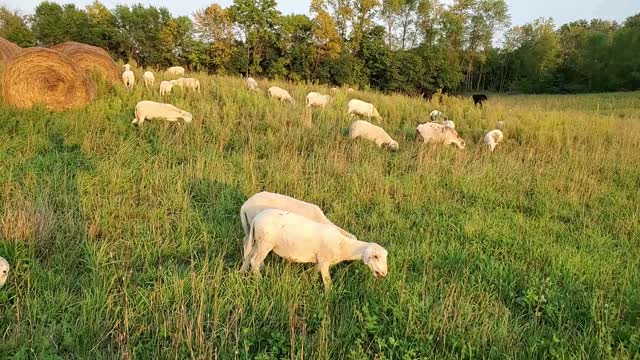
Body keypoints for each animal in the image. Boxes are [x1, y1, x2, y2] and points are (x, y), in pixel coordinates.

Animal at [240, 210, 390, 288]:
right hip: (265, 243)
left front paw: (307, 280)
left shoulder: (320, 261)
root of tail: (257, 218)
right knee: (255, 261)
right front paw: (329, 298)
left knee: (248, 256)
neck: (341, 245)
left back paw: (241, 273)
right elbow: (327, 281)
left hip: (258, 242)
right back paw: (260, 281)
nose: (384, 273)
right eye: (375, 256)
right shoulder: (324, 261)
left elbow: (313, 273)